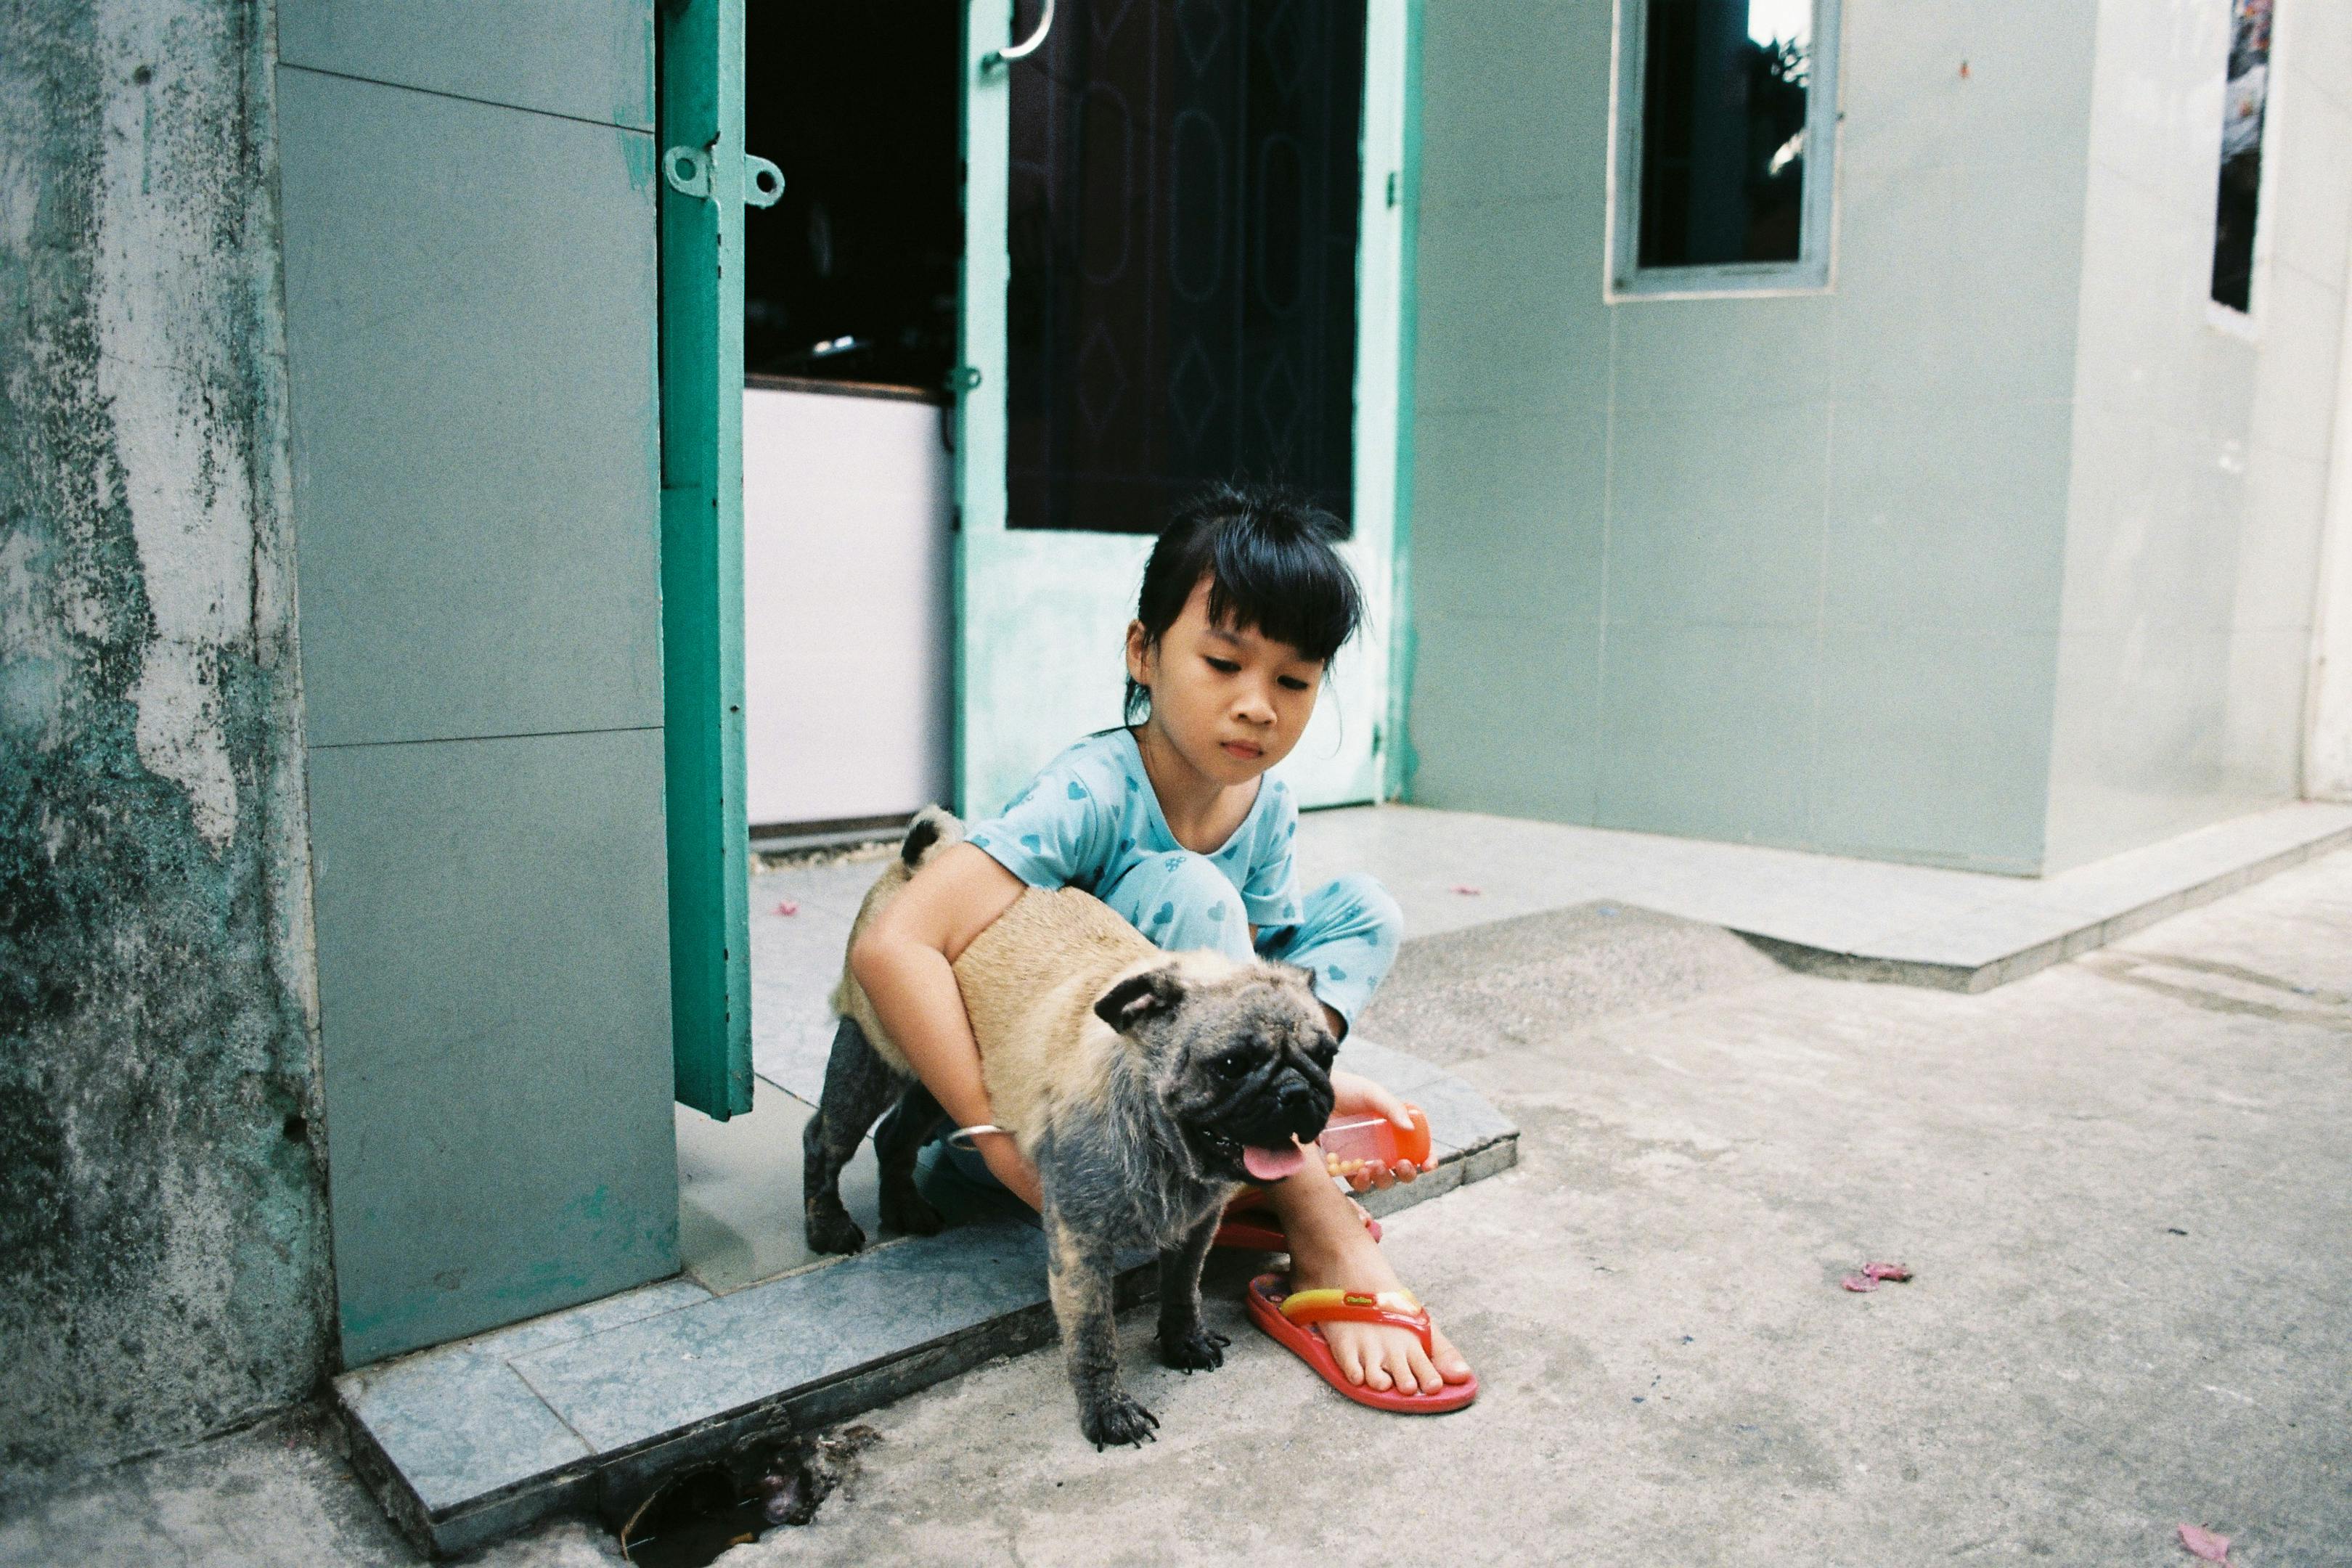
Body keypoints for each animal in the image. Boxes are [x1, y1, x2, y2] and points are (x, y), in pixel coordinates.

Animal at [804, 817, 1345, 1457]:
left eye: (1325, 1057)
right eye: (1233, 1064)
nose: (1297, 1092)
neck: (1160, 1138)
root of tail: (929, 856)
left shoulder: (1195, 1229)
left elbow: (1182, 1288)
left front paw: (1183, 1340)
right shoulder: (1081, 1248)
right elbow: (1093, 1339)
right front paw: (1107, 1411)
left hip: (935, 1078)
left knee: (895, 1137)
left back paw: (905, 1207)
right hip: (871, 1058)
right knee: (826, 1139)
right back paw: (828, 1225)